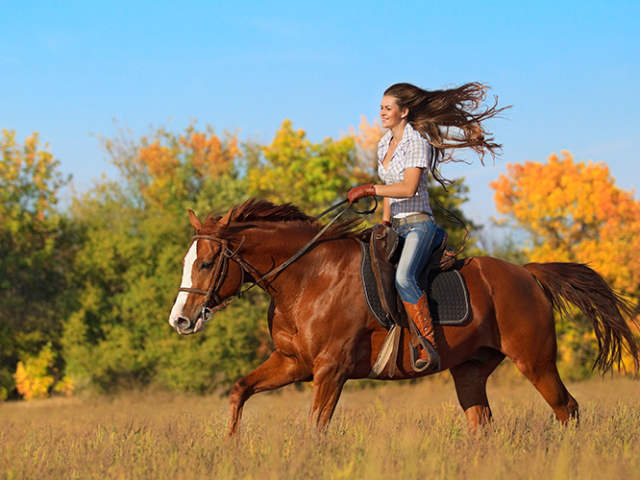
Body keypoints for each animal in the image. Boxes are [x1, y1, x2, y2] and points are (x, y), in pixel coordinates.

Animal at [168, 199, 636, 436]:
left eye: (207, 263)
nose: (180, 321)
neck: (308, 278)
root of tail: (527, 273)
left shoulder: (330, 370)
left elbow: (316, 428)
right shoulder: (292, 364)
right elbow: (239, 392)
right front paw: (230, 448)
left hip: (536, 362)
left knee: (567, 409)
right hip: (470, 371)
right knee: (481, 423)